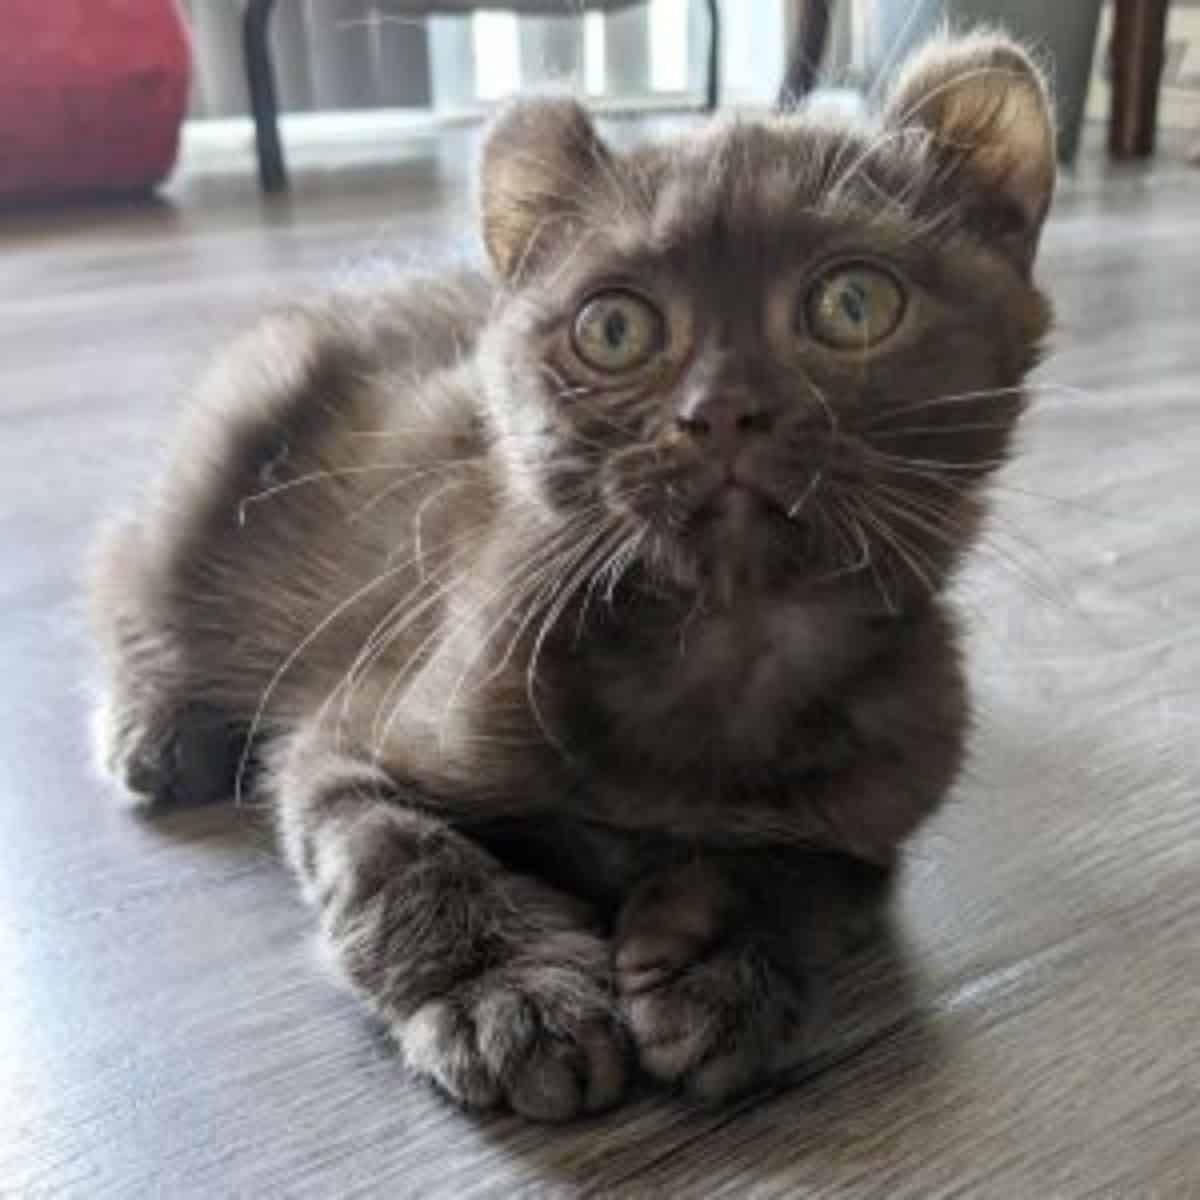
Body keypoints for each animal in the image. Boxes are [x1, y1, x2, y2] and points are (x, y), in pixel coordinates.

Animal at [88, 35, 1056, 1123]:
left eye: (853, 305)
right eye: (615, 329)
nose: (723, 408)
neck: (727, 650)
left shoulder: (871, 820)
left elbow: (801, 880)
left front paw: (721, 968)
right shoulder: (343, 741)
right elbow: (402, 861)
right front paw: (512, 997)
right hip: (218, 459)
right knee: (123, 572)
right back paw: (158, 729)